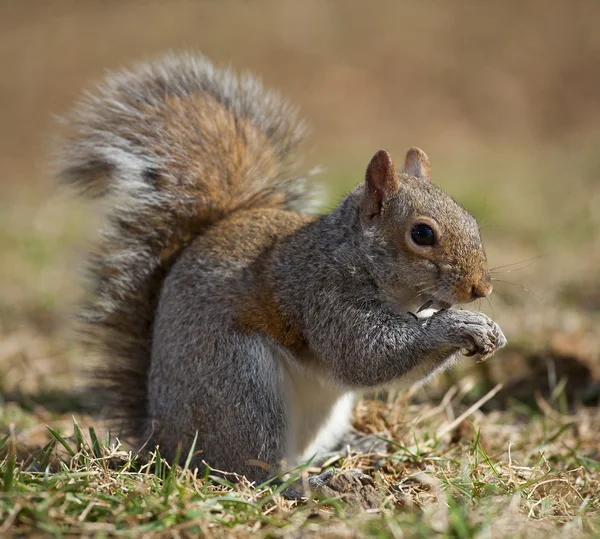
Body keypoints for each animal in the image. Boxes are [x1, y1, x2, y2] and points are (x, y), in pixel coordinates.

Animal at [57, 53, 506, 490]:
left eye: (470, 218)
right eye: (422, 233)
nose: (480, 288)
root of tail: (163, 440)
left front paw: (490, 330)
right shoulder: (321, 292)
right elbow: (366, 355)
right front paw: (460, 325)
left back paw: (358, 446)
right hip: (238, 390)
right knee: (252, 471)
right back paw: (308, 484)